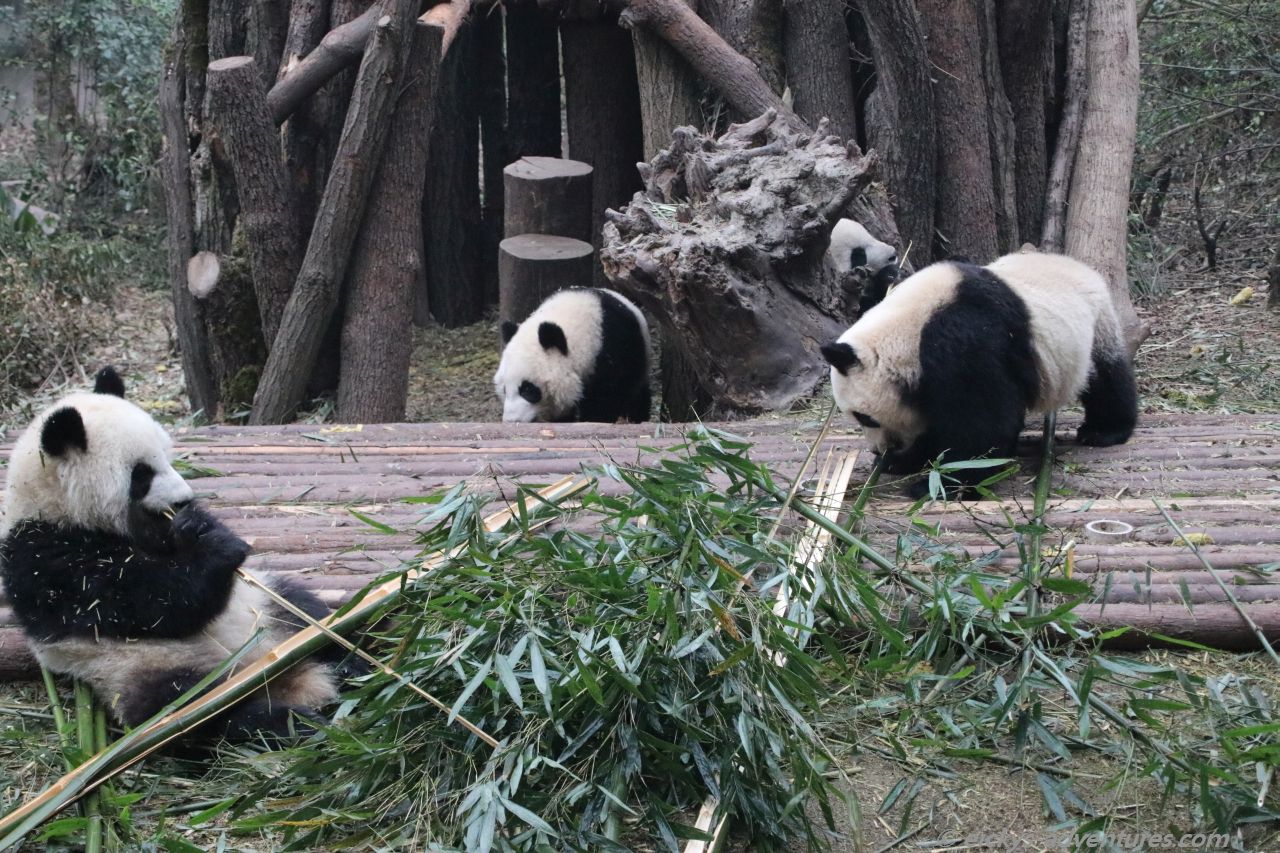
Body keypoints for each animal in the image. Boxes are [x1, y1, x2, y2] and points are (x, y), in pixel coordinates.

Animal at [0, 367, 347, 745]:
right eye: (141, 474)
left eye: (167, 456)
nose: (183, 499)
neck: (55, 507)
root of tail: (265, 667)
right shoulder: (48, 561)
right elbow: (152, 603)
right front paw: (218, 547)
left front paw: (198, 524)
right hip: (140, 668)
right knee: (194, 709)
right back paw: (292, 722)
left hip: (269, 610)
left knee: (309, 613)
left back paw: (353, 662)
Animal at [495, 288, 651, 423]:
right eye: (504, 389)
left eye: (528, 389)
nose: (512, 420)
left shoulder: (613, 350)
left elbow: (607, 396)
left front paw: (593, 418)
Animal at [820, 251, 1138, 497]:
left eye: (864, 417)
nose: (879, 449)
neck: (906, 330)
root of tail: (1081, 266)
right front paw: (901, 462)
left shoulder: (962, 341)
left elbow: (982, 423)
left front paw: (942, 483)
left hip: (1096, 326)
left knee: (1106, 378)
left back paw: (1104, 431)